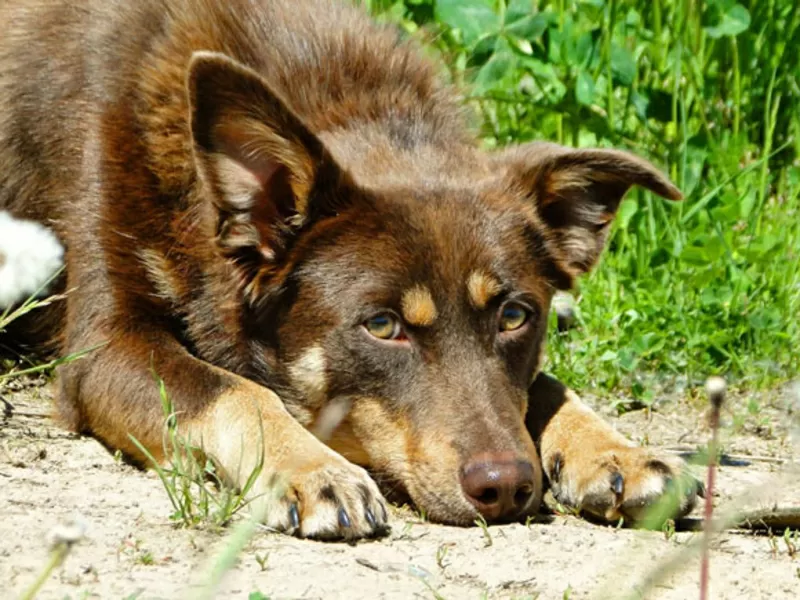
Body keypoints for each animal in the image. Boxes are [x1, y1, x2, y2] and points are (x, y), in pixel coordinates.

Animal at [0, 0, 696, 540]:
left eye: (515, 316)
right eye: (382, 326)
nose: (506, 487)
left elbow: (546, 385)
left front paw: (615, 448)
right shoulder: (101, 351)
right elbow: (234, 390)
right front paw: (312, 468)